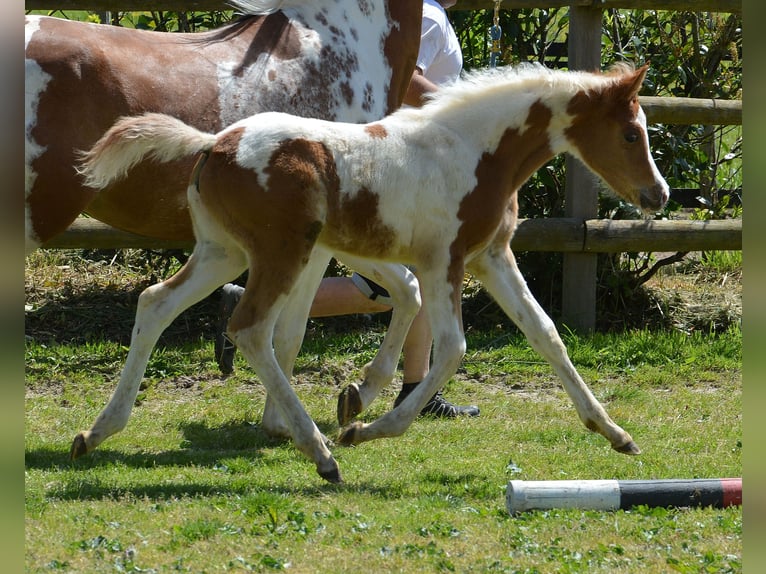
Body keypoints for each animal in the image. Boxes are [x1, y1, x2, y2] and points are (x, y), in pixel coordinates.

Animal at [75, 64, 668, 486]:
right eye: (630, 134)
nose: (658, 195)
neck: (473, 152)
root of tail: (214, 144)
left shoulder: (492, 256)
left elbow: (546, 334)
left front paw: (615, 433)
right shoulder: (443, 262)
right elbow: (453, 349)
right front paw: (365, 429)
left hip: (223, 252)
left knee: (157, 302)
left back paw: (98, 431)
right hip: (280, 253)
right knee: (251, 329)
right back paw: (322, 455)